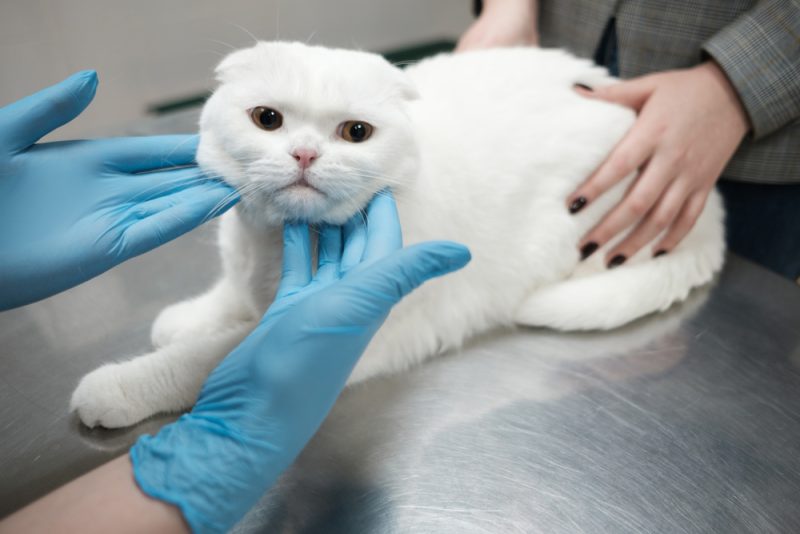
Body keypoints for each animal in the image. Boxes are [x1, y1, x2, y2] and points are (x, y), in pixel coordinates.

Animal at [73, 42, 724, 430]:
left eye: (355, 132)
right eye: (267, 119)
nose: (304, 153)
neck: (277, 247)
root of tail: (710, 201)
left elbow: (202, 362)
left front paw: (116, 388)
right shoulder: (245, 268)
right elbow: (225, 298)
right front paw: (187, 317)